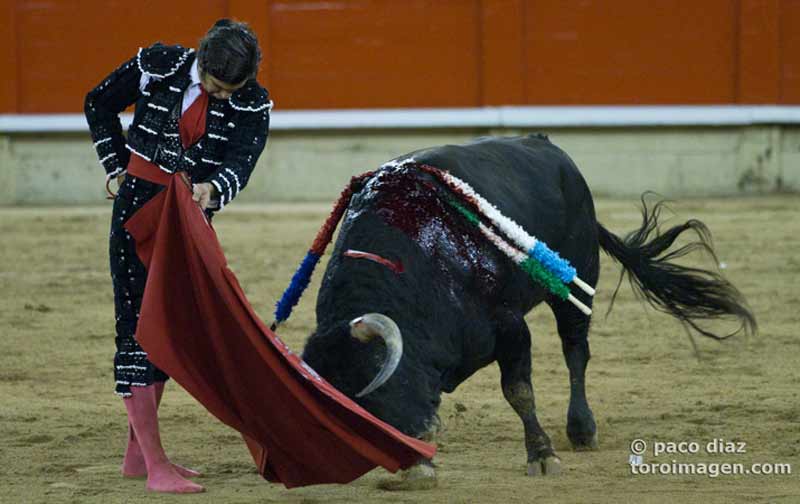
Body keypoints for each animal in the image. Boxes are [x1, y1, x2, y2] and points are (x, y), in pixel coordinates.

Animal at [302, 134, 756, 476]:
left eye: (377, 376)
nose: (410, 461)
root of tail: (548, 145)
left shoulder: (509, 326)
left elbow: (518, 391)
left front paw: (542, 455)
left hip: (579, 281)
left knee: (576, 351)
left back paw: (581, 429)